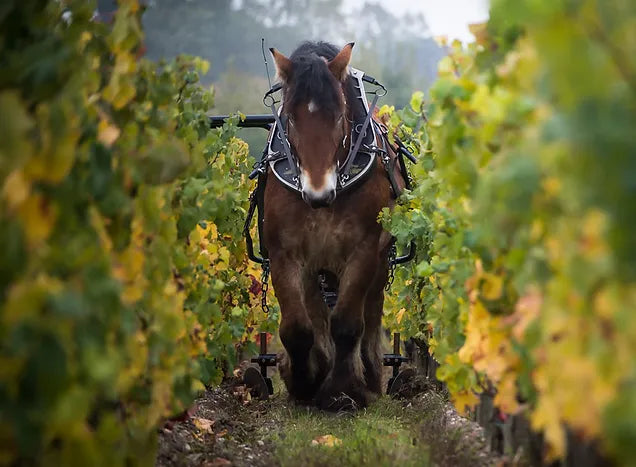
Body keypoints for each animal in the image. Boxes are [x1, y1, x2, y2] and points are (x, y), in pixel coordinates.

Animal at [264, 42, 408, 412]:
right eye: (290, 118)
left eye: (339, 115)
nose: (318, 193)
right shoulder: (284, 252)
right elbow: (297, 328)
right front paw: (303, 382)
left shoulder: (364, 249)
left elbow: (346, 323)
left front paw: (344, 390)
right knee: (315, 311)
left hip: (380, 260)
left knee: (371, 309)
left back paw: (369, 372)